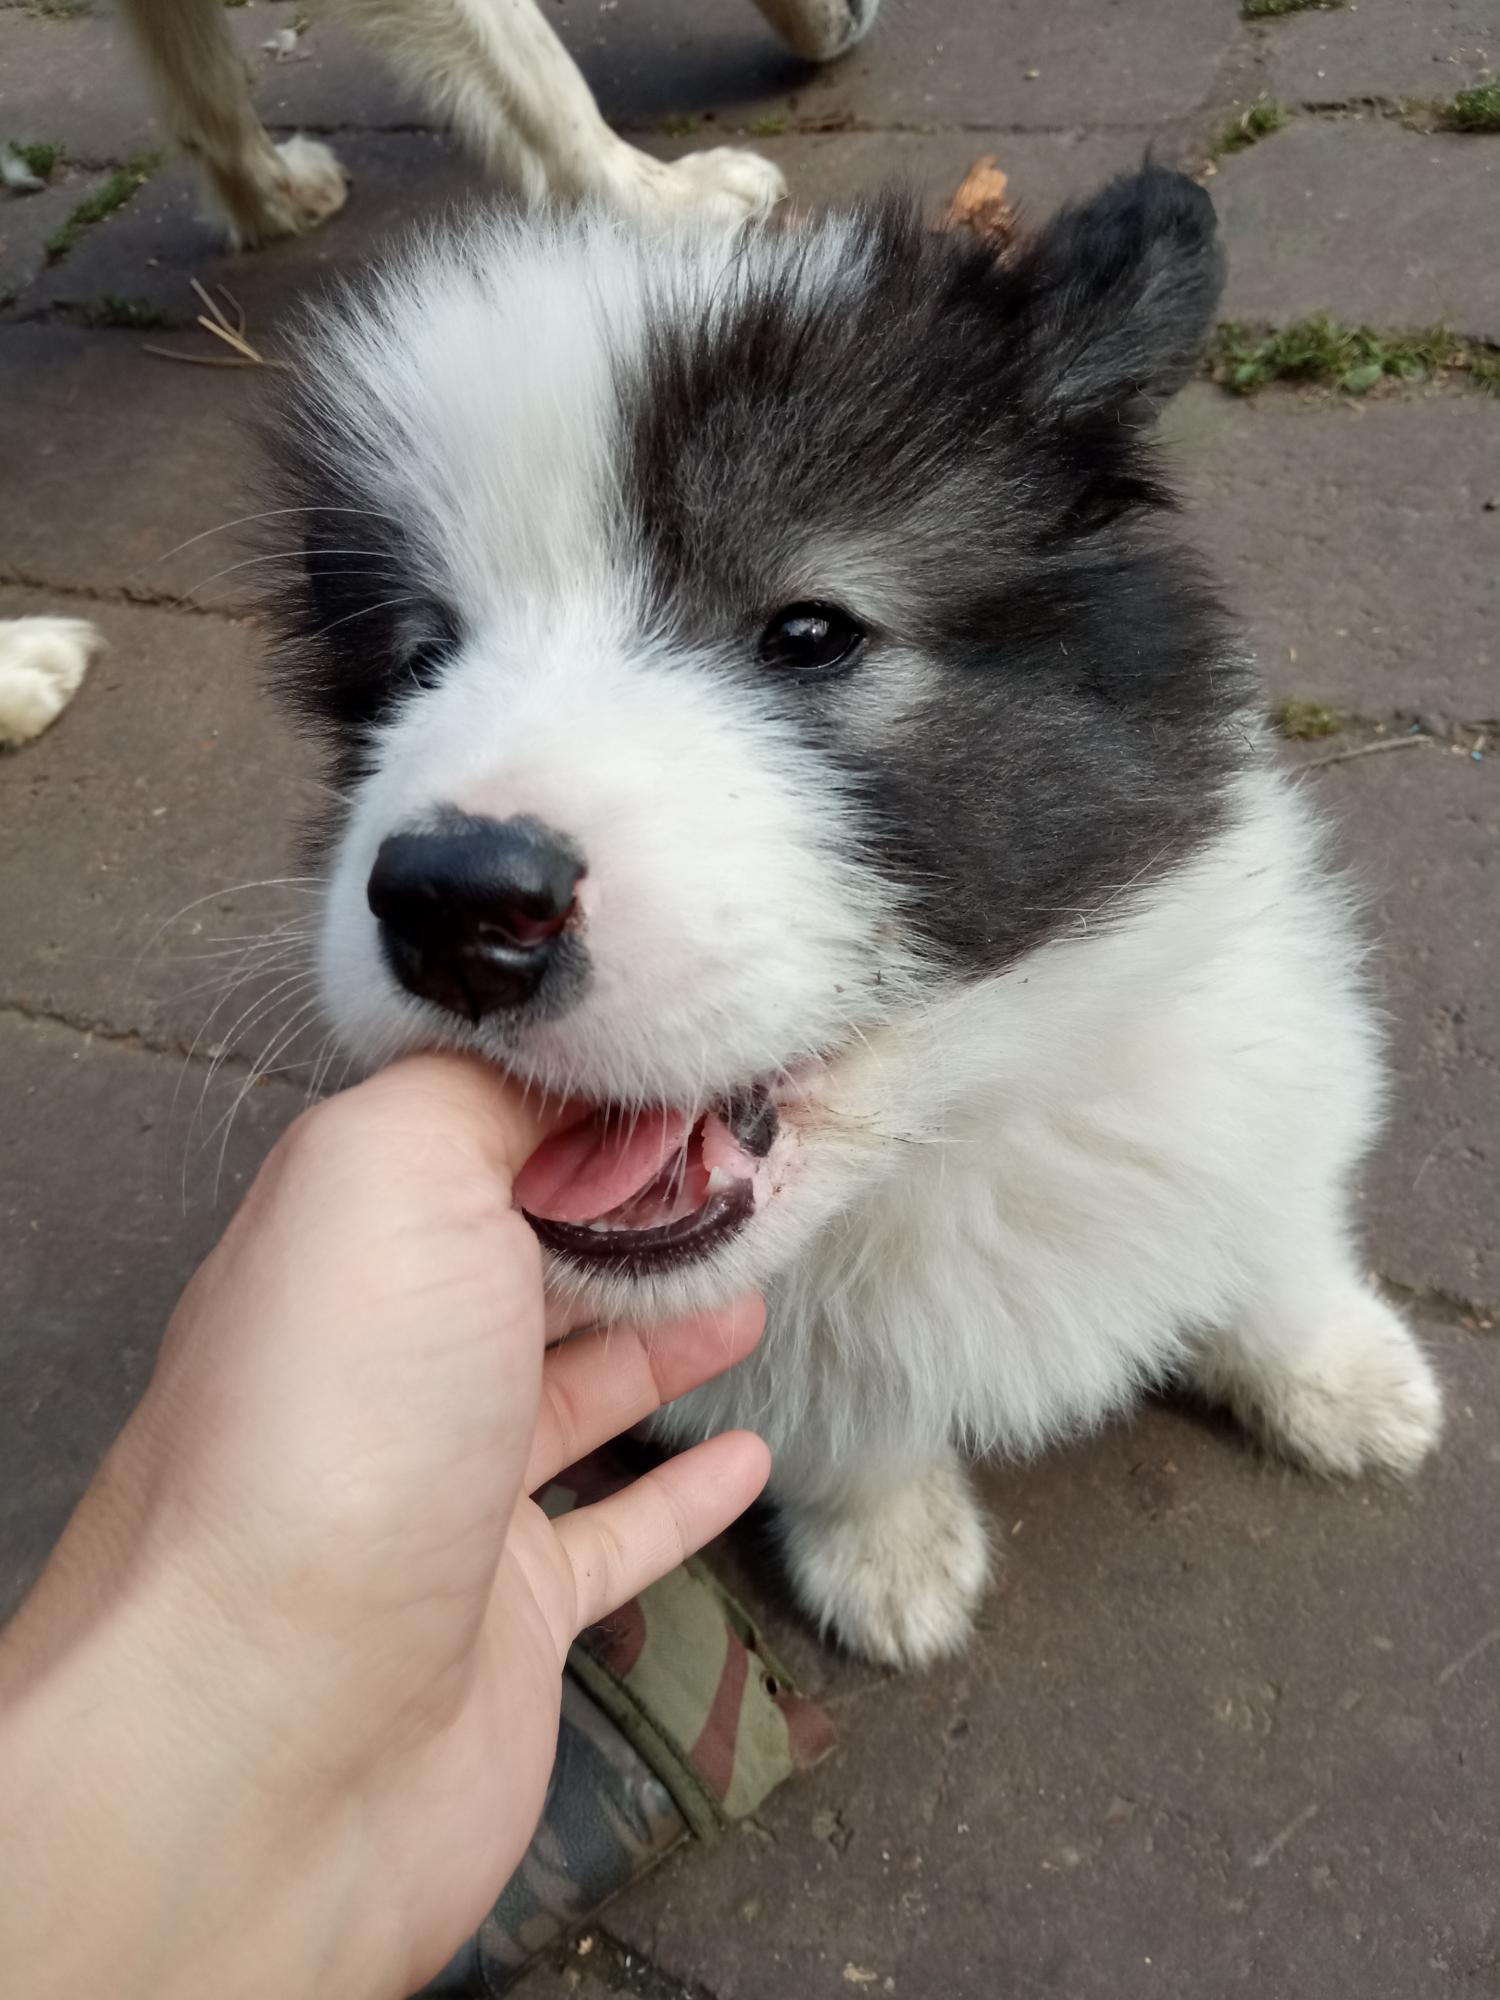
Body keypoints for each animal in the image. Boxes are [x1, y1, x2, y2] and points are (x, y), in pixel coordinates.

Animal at [270, 176, 1448, 1672]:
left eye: (813, 633)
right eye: (419, 659)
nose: (454, 896)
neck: (935, 1143)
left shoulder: (1255, 1057)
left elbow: (1272, 1236)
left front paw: (1341, 1375)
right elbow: (837, 1425)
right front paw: (886, 1550)